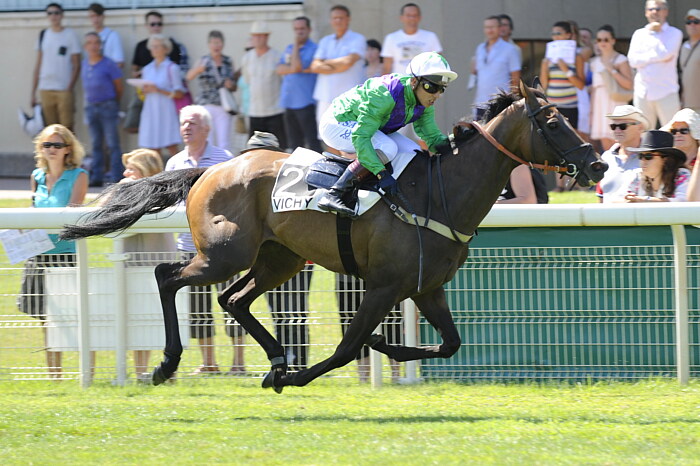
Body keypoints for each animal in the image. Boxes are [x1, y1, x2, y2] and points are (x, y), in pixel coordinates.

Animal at [61, 82, 608, 392]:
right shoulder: (384, 285)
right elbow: (348, 347)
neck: (440, 194)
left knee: (233, 299)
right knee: (168, 276)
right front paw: (304, 375)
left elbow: (450, 344)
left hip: (278, 259)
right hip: (224, 253)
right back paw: (169, 364)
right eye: (552, 121)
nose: (597, 163)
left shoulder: (426, 287)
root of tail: (211, 170)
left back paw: (276, 359)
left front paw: (386, 347)